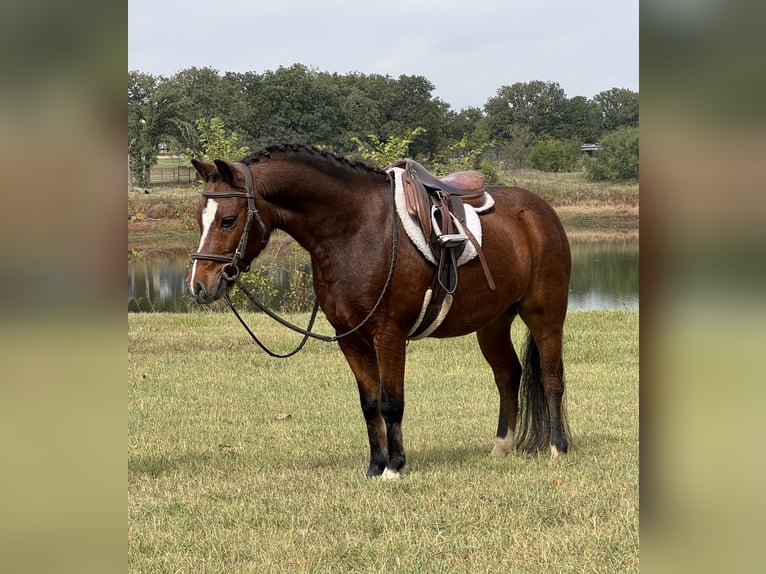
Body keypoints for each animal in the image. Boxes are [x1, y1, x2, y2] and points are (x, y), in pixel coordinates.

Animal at [187, 143, 571, 478]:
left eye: (227, 220)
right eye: (199, 220)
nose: (199, 285)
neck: (355, 229)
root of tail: (541, 210)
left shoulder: (389, 334)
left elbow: (391, 402)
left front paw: (395, 467)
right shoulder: (350, 339)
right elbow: (369, 404)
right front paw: (375, 466)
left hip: (545, 315)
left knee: (551, 377)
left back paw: (558, 448)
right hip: (492, 324)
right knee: (508, 375)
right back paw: (502, 446)